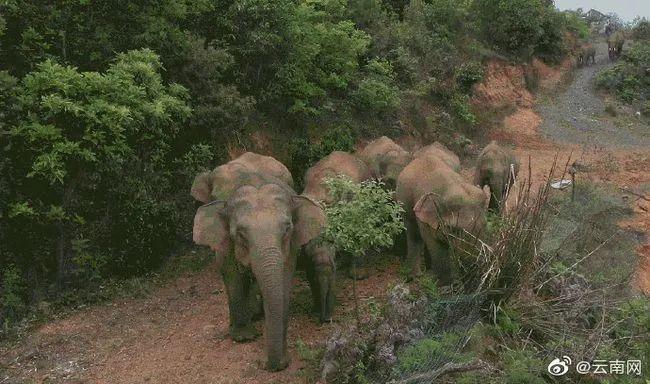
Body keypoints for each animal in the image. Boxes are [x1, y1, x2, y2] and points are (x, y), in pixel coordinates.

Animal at [190, 153, 326, 372]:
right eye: (240, 233)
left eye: (287, 228)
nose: (264, 363)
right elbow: (231, 272)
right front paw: (243, 337)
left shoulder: (291, 244)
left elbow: (284, 278)